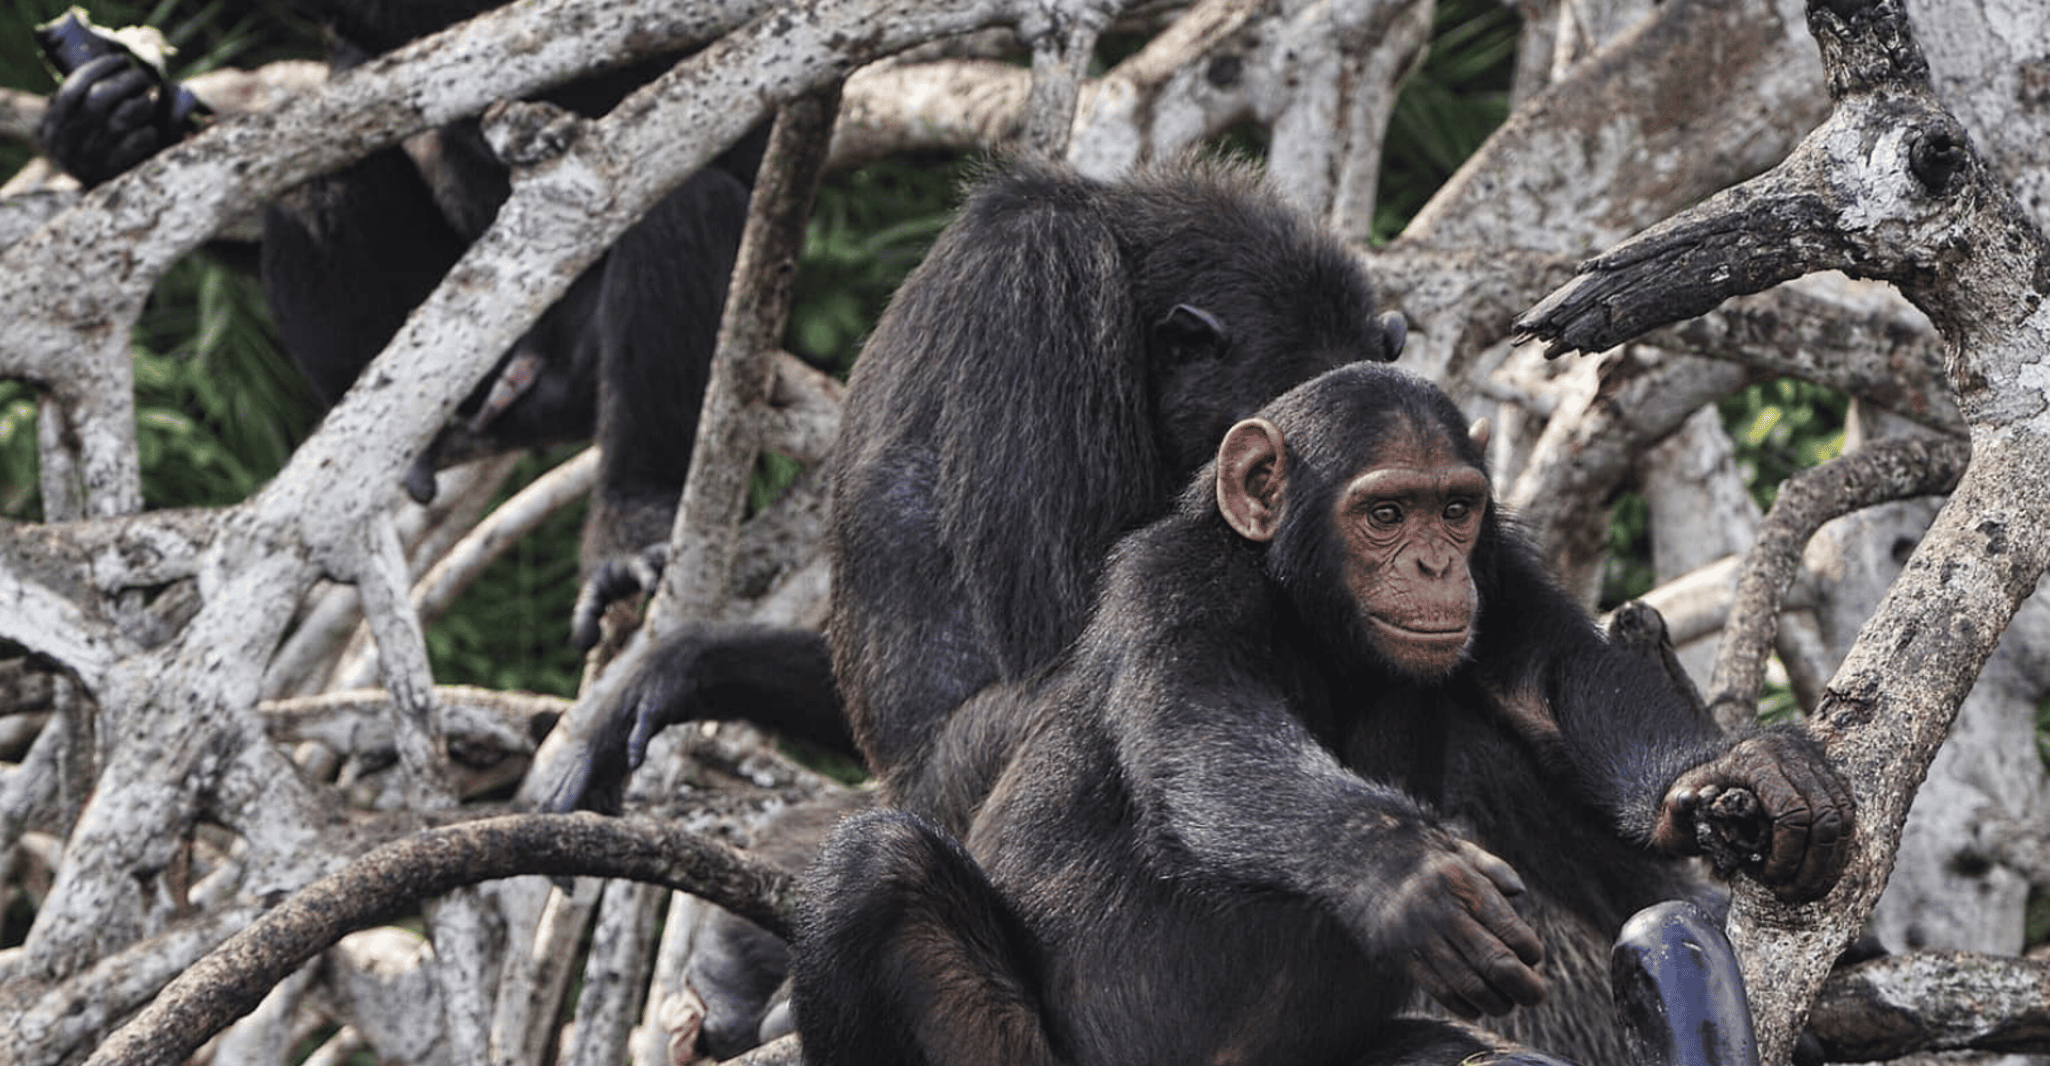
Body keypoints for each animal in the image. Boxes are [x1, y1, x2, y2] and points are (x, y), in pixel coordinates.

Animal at [787, 366, 1861, 1066]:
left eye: (1454, 510)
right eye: (1384, 515)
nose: (1432, 566)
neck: (1307, 612)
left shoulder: (1502, 569)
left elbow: (1556, 683)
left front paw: (1741, 771)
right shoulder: (1173, 589)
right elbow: (1201, 739)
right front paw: (1399, 871)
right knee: (877, 870)